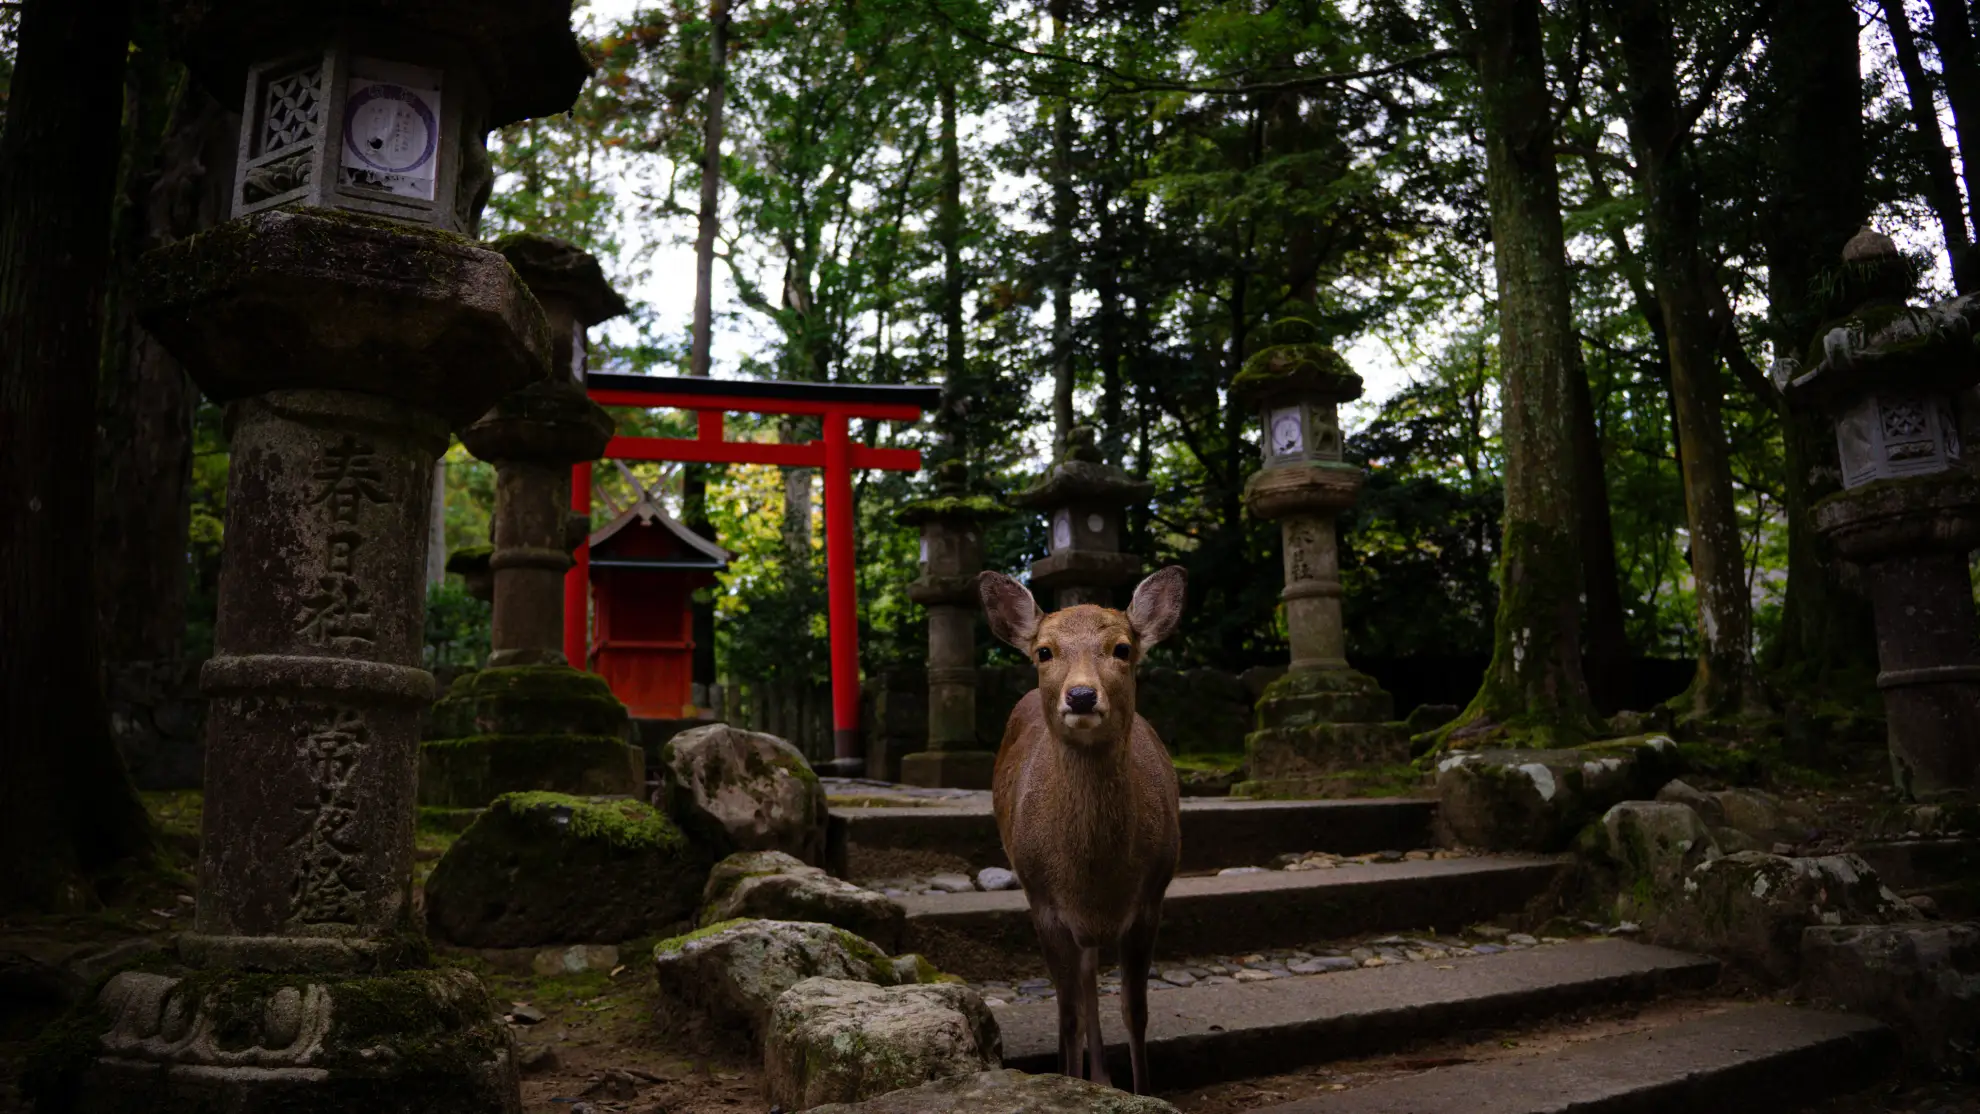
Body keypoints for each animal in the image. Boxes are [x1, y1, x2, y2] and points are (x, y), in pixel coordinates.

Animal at [975, 565, 1186, 1095]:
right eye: (1045, 651)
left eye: (1123, 648)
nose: (1083, 694)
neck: (1095, 875)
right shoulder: (1043, 899)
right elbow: (1066, 1013)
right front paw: (1068, 1085)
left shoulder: (1152, 895)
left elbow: (1135, 1010)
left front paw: (1141, 1090)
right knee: (1078, 984)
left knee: (1091, 972)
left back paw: (1104, 1077)